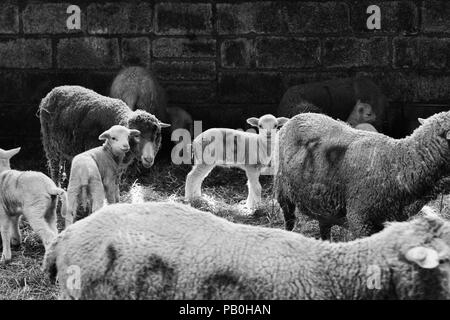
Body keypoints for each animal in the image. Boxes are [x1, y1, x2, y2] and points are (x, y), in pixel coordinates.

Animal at [39, 85, 171, 185]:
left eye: (157, 135)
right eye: (137, 135)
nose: (148, 159)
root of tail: (53, 91)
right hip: (50, 144)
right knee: (54, 168)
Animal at [274, 111, 450, 239]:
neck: (397, 162)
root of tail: (296, 117)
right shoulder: (359, 219)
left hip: (322, 203)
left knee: (324, 227)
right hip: (283, 191)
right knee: (289, 220)